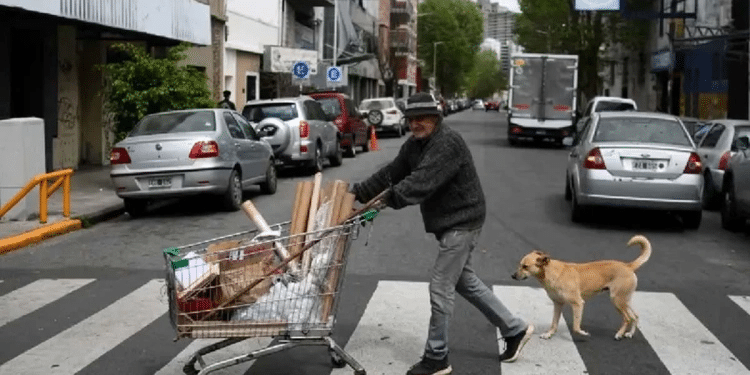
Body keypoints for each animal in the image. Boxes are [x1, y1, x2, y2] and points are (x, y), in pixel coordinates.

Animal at [512, 236, 652, 342]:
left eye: (525, 266)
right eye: (520, 264)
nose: (512, 276)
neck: (552, 273)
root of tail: (628, 266)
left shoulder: (578, 304)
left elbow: (575, 326)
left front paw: (584, 333)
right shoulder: (558, 304)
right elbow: (554, 323)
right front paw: (549, 334)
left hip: (617, 300)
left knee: (627, 318)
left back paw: (619, 334)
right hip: (624, 301)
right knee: (635, 316)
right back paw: (629, 333)